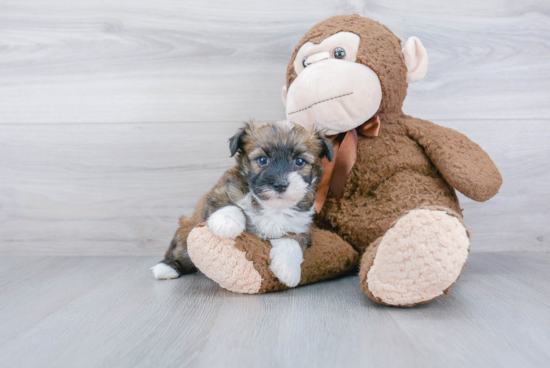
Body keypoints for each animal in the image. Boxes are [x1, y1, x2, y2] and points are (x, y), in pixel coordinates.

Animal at [151, 121, 334, 288]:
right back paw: (166, 268)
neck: (272, 206)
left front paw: (288, 270)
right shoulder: (219, 193)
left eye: (299, 161)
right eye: (263, 160)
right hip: (185, 229)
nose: (280, 185)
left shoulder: (301, 224)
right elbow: (230, 205)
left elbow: (292, 242)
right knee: (180, 250)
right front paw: (226, 224)